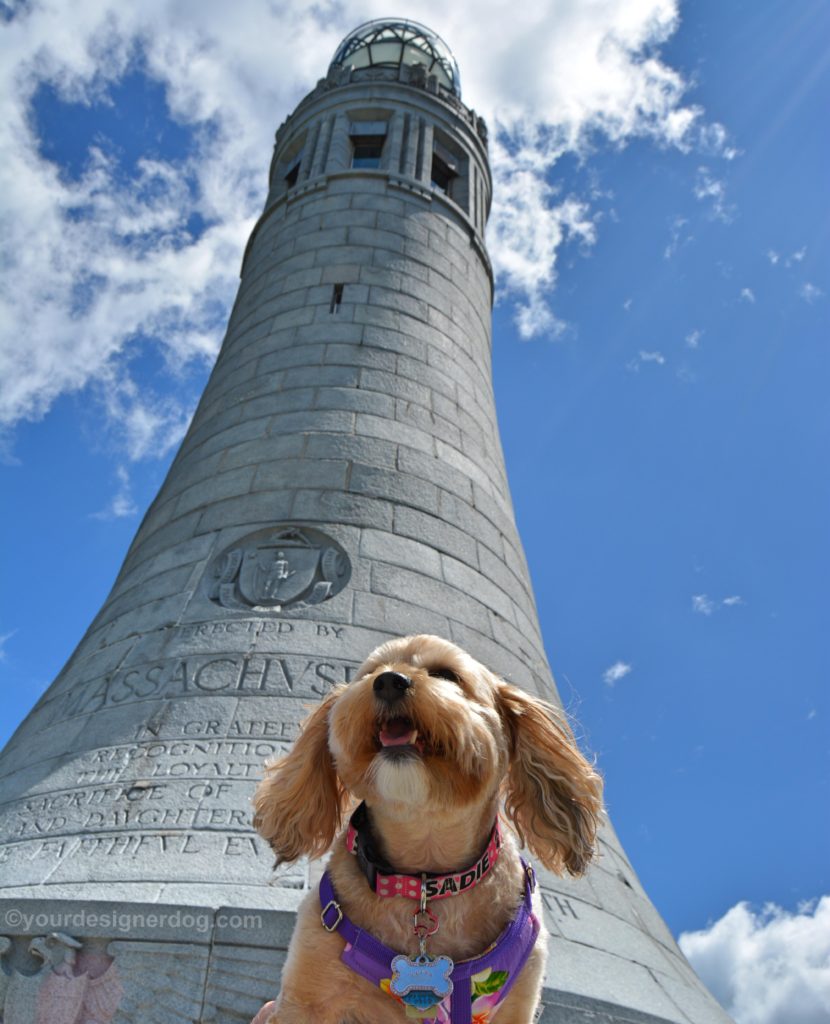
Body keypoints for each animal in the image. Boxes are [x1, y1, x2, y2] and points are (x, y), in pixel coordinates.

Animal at [252, 630, 601, 1024]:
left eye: (446, 675)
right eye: (371, 673)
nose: (389, 681)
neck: (424, 874)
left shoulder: (518, 1000)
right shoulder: (307, 993)